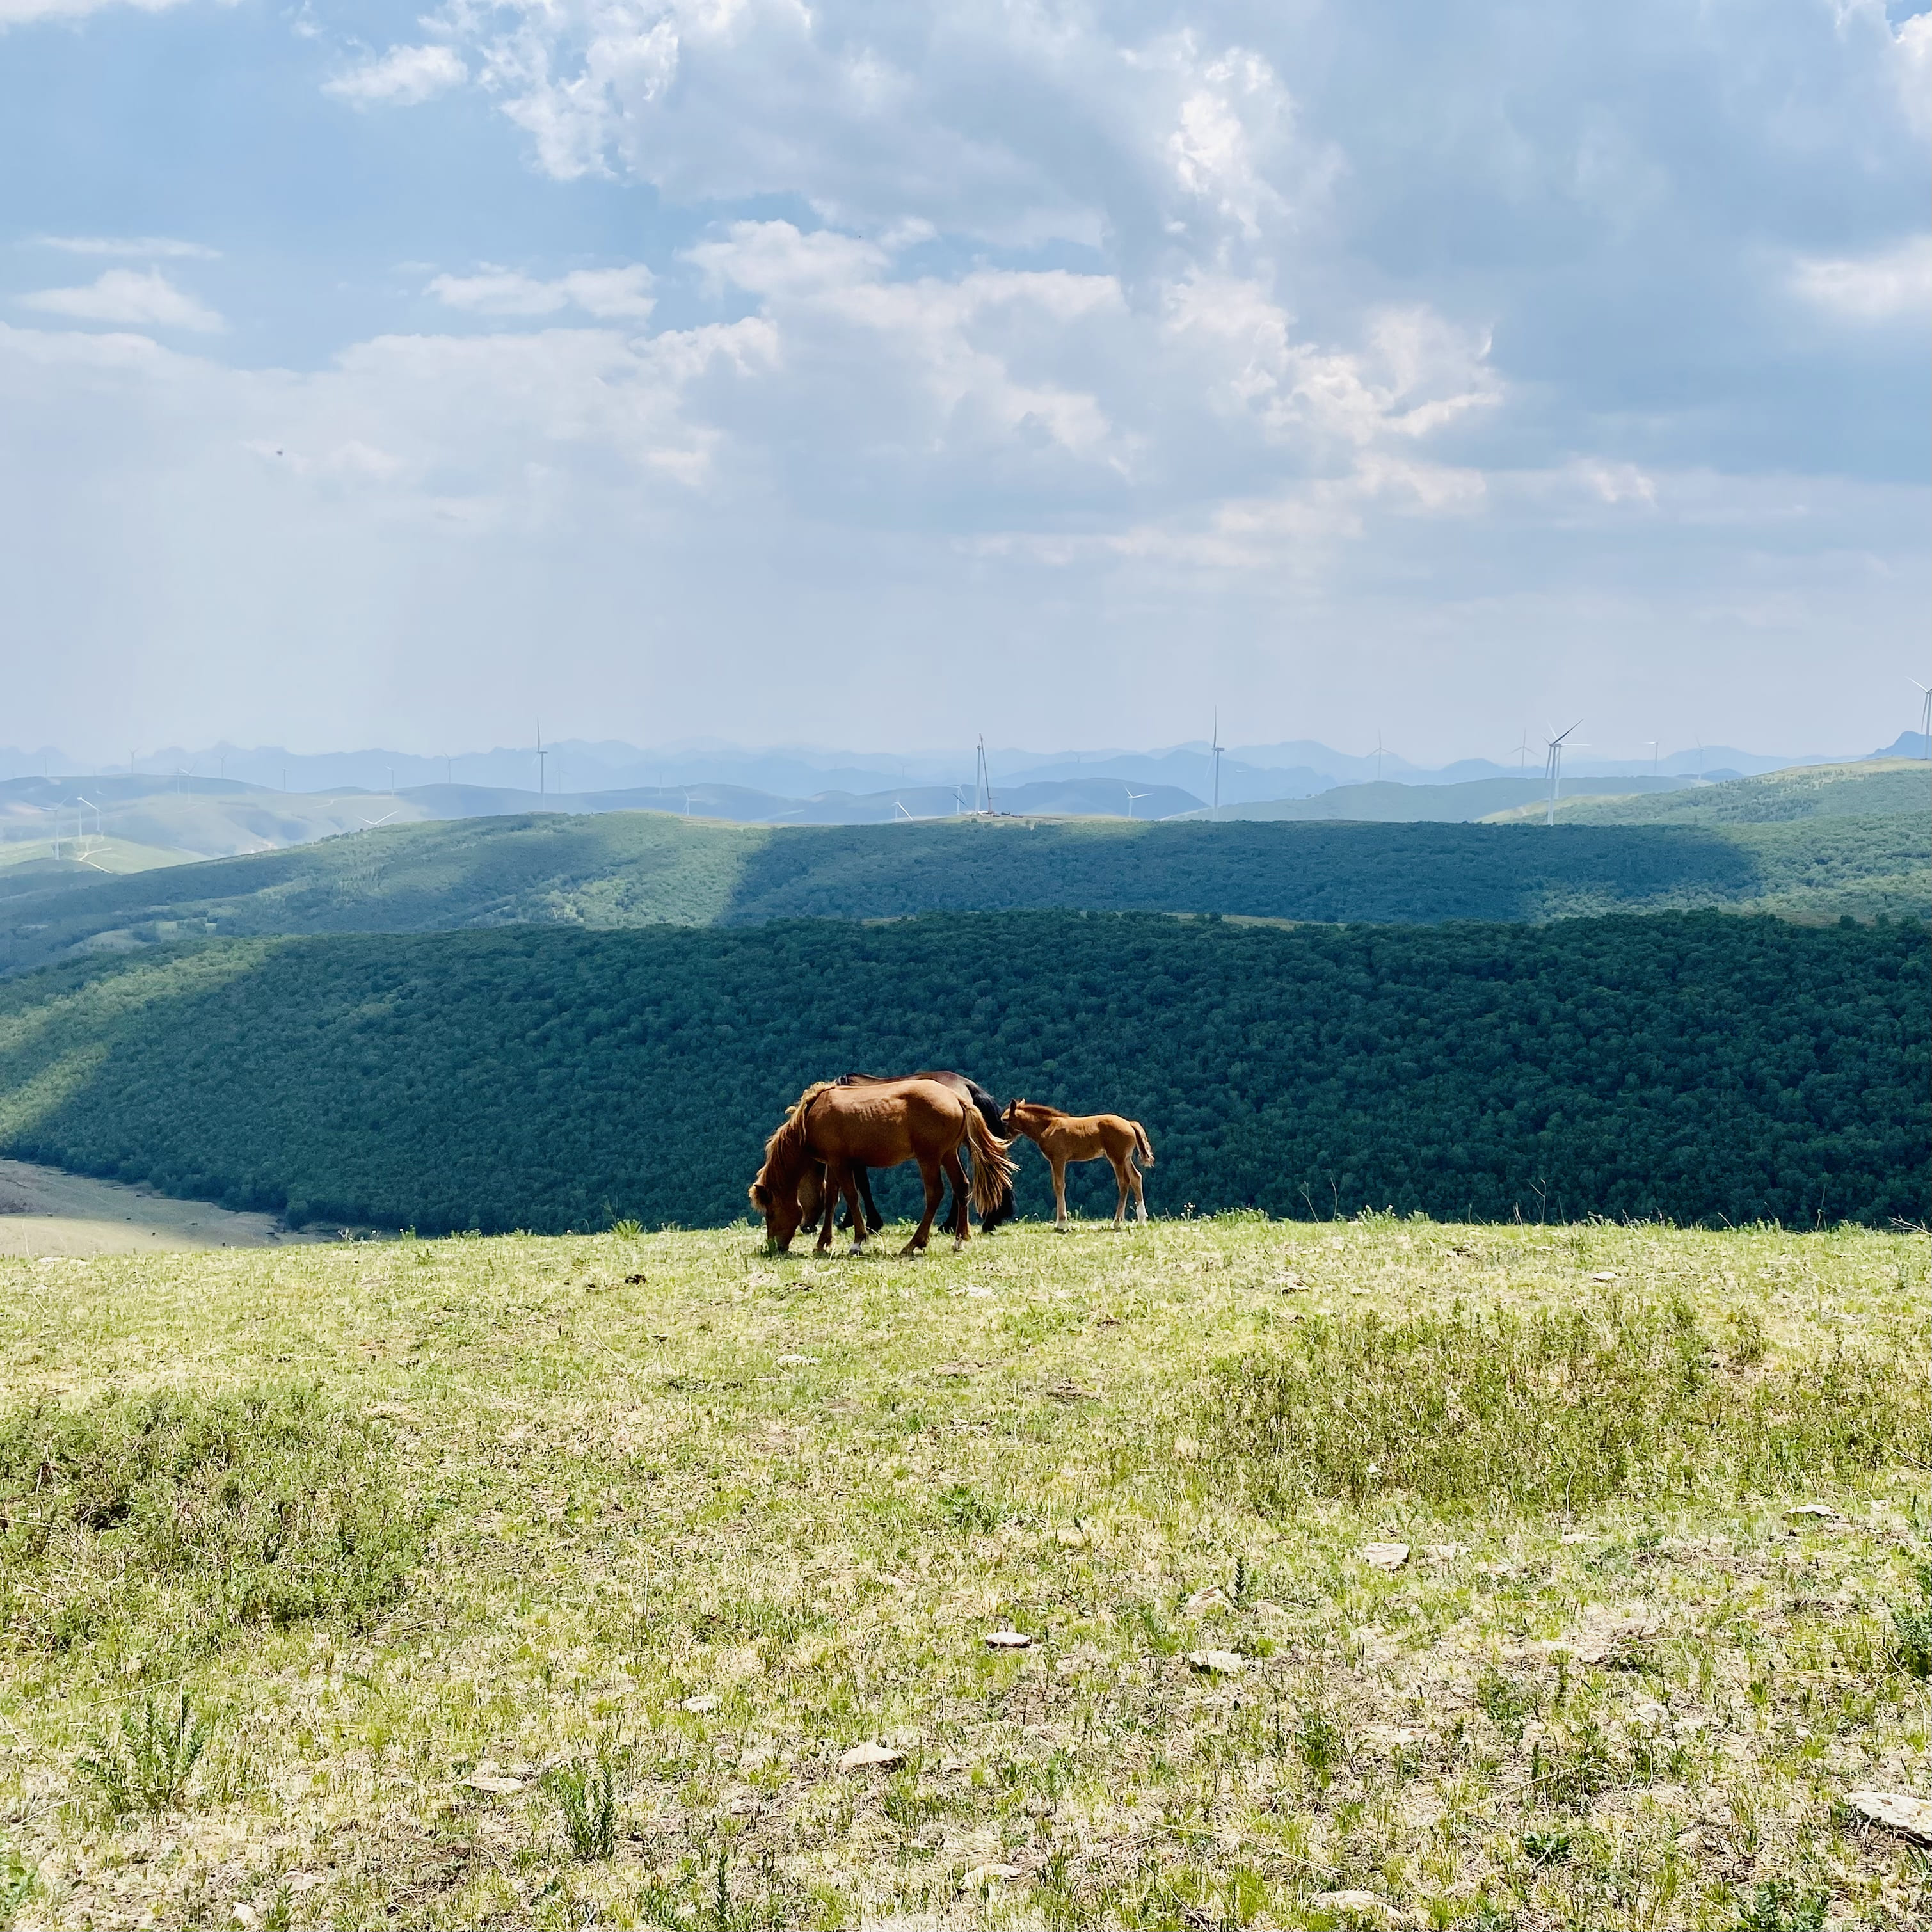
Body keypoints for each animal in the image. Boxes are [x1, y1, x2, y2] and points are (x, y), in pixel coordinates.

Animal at [746, 1074, 1012, 1252]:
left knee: (936, 1193)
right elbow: (832, 1198)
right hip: (948, 1154)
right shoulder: (834, 1163)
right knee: (961, 1186)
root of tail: (957, 1097)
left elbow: (852, 1196)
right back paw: (958, 1239)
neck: (813, 1116)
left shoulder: (841, 1163)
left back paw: (914, 1243)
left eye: (770, 1213)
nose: (774, 1246)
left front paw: (858, 1241)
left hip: (929, 1158)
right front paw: (823, 1243)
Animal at [1004, 1097, 1151, 1229]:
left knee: (1124, 1183)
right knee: (1136, 1178)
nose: (1003, 1140)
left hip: (1117, 1158)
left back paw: (1116, 1222)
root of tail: (1130, 1124)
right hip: (1126, 1158)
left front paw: (1061, 1223)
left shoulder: (1058, 1159)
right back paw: (1141, 1220)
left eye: (1004, 1121)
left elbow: (1059, 1185)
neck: (1047, 1127)